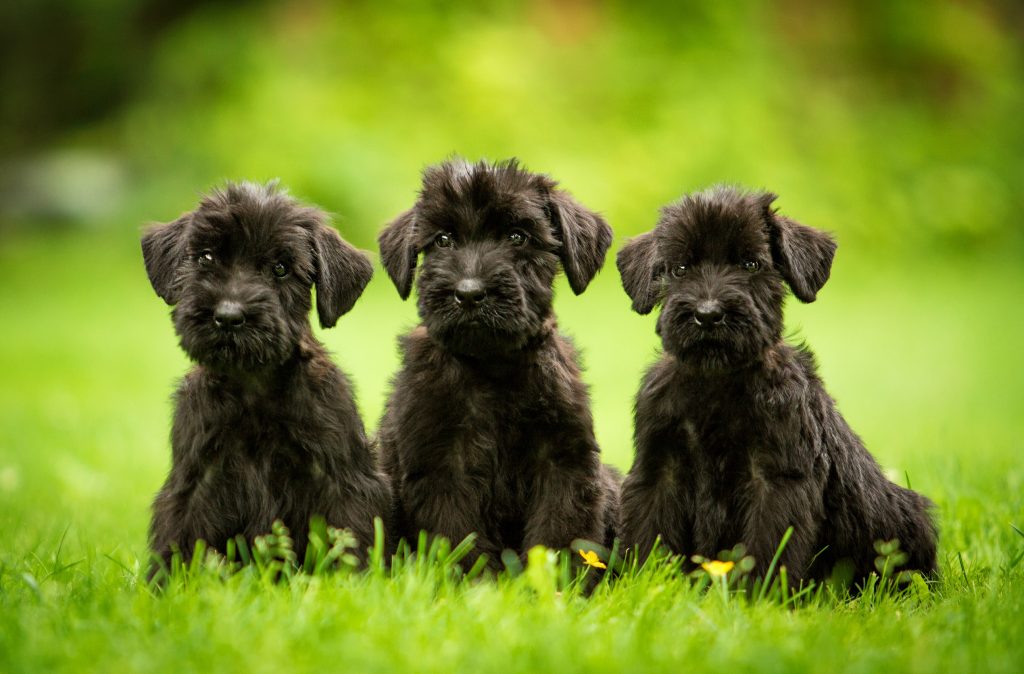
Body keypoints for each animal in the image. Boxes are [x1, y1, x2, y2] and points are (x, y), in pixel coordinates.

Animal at [138, 181, 389, 569]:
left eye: (281, 268)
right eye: (206, 258)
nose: (228, 317)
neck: (253, 386)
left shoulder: (342, 478)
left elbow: (350, 535)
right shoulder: (196, 479)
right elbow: (178, 536)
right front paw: (167, 581)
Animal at [374, 157, 614, 565]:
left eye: (517, 236)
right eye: (443, 239)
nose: (469, 293)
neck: (492, 368)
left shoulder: (564, 460)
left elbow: (560, 531)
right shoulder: (443, 465)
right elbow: (459, 537)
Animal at [610, 185, 937, 581]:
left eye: (750, 265)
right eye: (680, 268)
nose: (708, 314)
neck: (716, 381)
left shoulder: (776, 478)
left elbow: (767, 549)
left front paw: (758, 592)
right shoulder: (659, 470)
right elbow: (647, 537)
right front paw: (640, 583)